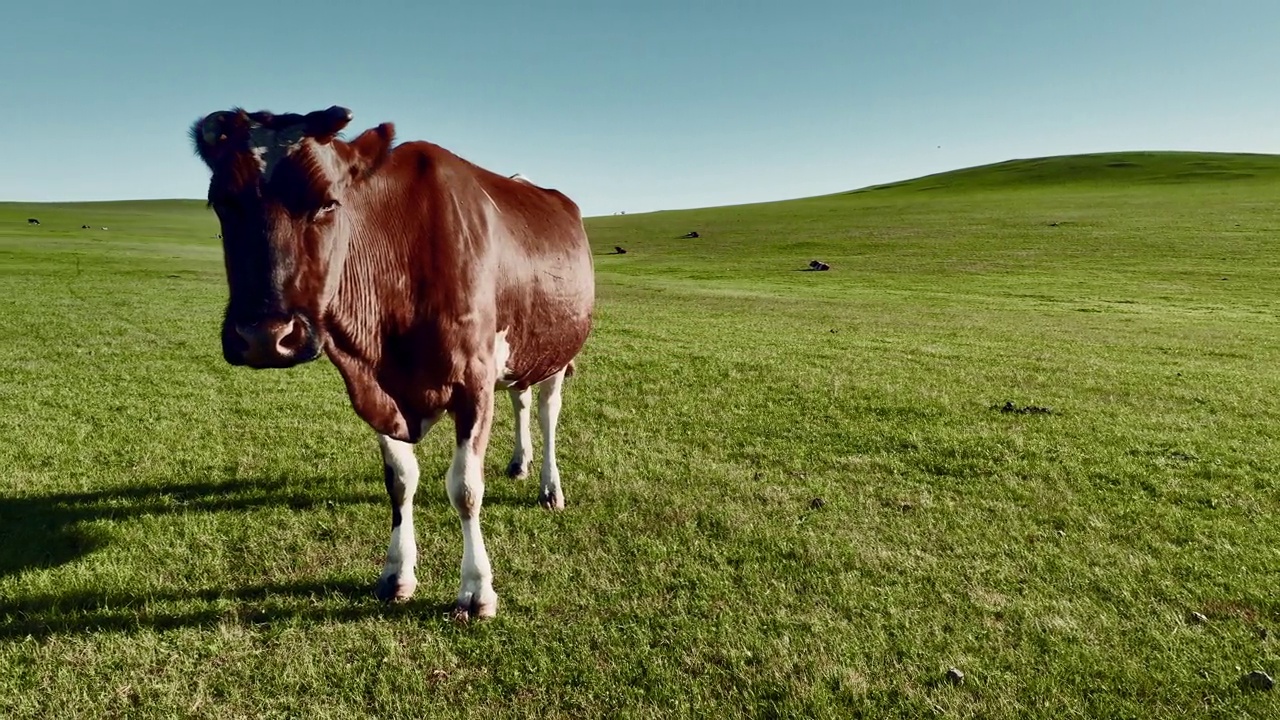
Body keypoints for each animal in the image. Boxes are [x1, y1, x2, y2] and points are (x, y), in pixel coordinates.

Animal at [188, 106, 593, 617]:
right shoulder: (378, 385)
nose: (264, 336)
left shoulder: (474, 379)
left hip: (558, 351)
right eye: (222, 202)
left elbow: (465, 488)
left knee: (545, 412)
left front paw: (476, 589)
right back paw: (520, 463)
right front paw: (397, 573)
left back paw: (549, 486)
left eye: (329, 203)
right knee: (520, 399)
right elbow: (401, 480)